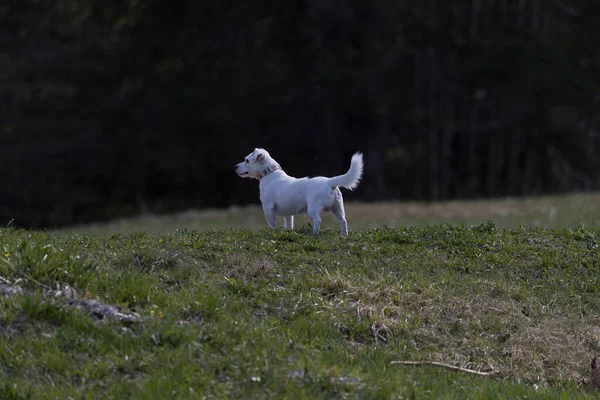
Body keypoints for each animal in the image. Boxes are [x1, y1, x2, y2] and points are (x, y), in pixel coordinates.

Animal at [236, 148, 364, 236]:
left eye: (247, 160)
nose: (235, 166)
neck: (270, 173)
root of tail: (329, 181)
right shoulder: (288, 214)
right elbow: (289, 225)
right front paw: (287, 232)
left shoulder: (268, 208)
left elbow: (272, 224)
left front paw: (272, 232)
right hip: (338, 207)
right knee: (343, 220)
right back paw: (343, 235)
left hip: (313, 209)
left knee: (317, 221)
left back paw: (314, 234)